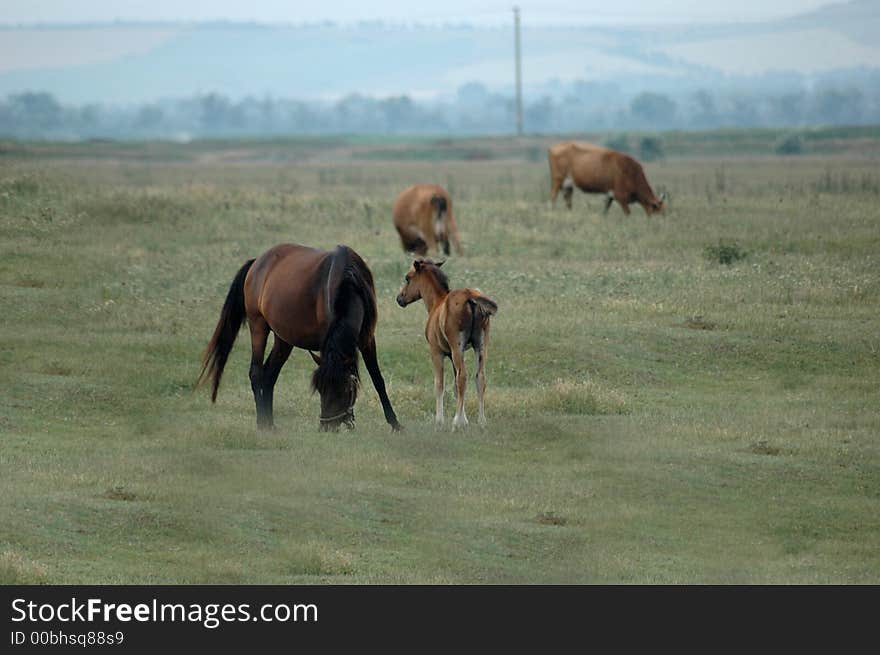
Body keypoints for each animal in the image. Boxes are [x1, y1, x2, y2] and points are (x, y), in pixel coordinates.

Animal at [198, 243, 400, 434]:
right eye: (319, 389)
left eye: (344, 389)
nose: (326, 427)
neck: (349, 282)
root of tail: (257, 262)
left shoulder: (367, 338)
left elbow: (377, 379)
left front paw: (395, 424)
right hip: (258, 325)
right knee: (256, 372)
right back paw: (262, 423)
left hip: (283, 339)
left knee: (269, 374)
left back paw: (270, 423)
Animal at [398, 258, 498, 434]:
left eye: (408, 278)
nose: (399, 298)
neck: (437, 303)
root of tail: (471, 297)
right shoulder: (452, 355)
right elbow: (455, 387)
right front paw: (465, 419)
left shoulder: (436, 352)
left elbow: (440, 384)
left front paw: (441, 421)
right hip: (481, 345)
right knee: (479, 377)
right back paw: (481, 421)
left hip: (458, 346)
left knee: (463, 376)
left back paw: (456, 423)